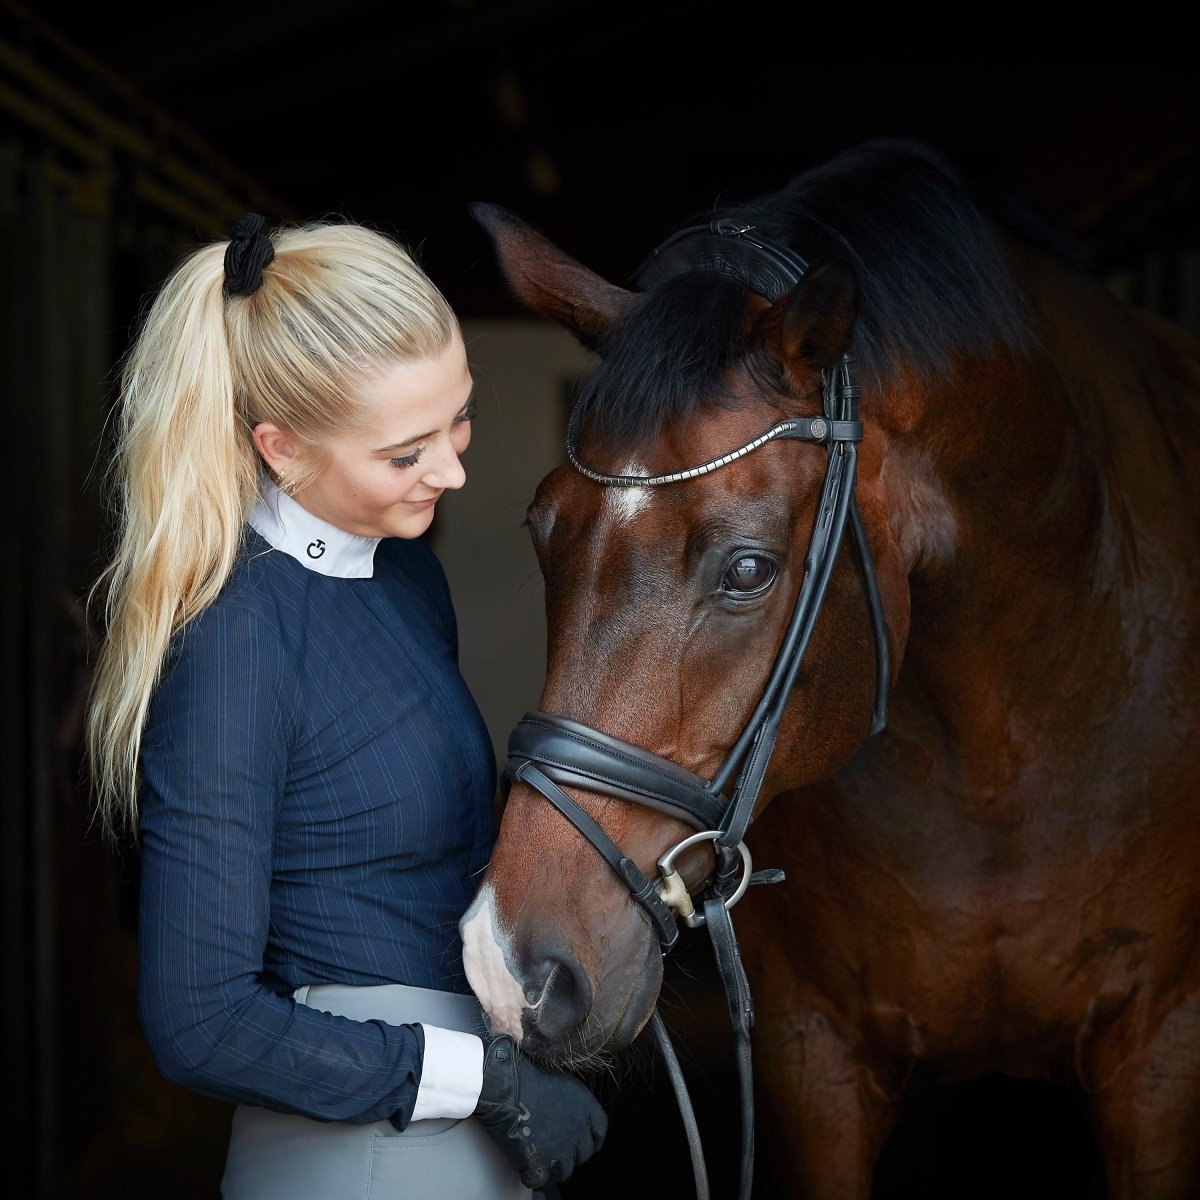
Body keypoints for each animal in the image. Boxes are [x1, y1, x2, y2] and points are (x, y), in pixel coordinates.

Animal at [456, 136, 1200, 1195]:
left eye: (749, 569)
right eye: (541, 529)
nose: (509, 968)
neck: (1002, 751)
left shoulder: (1159, 1052)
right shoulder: (817, 1061)